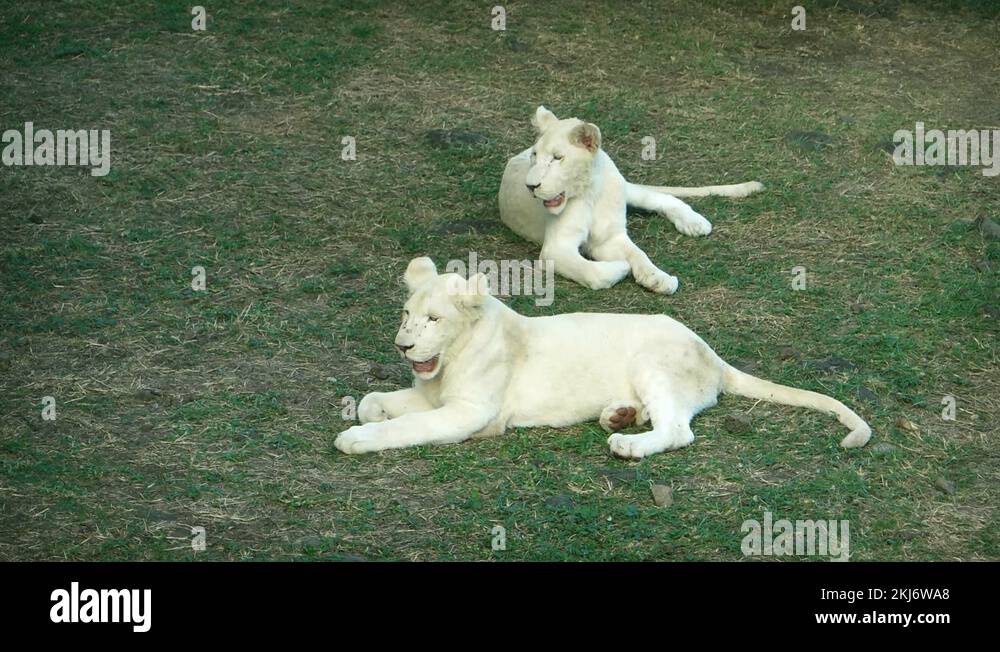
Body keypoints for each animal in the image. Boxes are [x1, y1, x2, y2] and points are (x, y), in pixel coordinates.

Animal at [333, 257, 872, 458]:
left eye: (434, 320)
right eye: (406, 314)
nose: (402, 345)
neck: (449, 362)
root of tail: (713, 355)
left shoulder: (472, 413)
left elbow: (409, 427)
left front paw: (356, 438)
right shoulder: (432, 395)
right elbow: (378, 401)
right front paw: (372, 410)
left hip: (653, 362)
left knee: (679, 430)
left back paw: (628, 442)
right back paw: (621, 414)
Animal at [498, 106, 764, 294]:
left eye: (557, 158)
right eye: (535, 155)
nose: (530, 186)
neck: (589, 193)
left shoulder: (610, 237)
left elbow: (639, 254)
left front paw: (658, 278)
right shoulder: (557, 247)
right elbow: (592, 272)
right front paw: (624, 268)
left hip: (626, 189)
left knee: (661, 197)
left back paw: (694, 222)